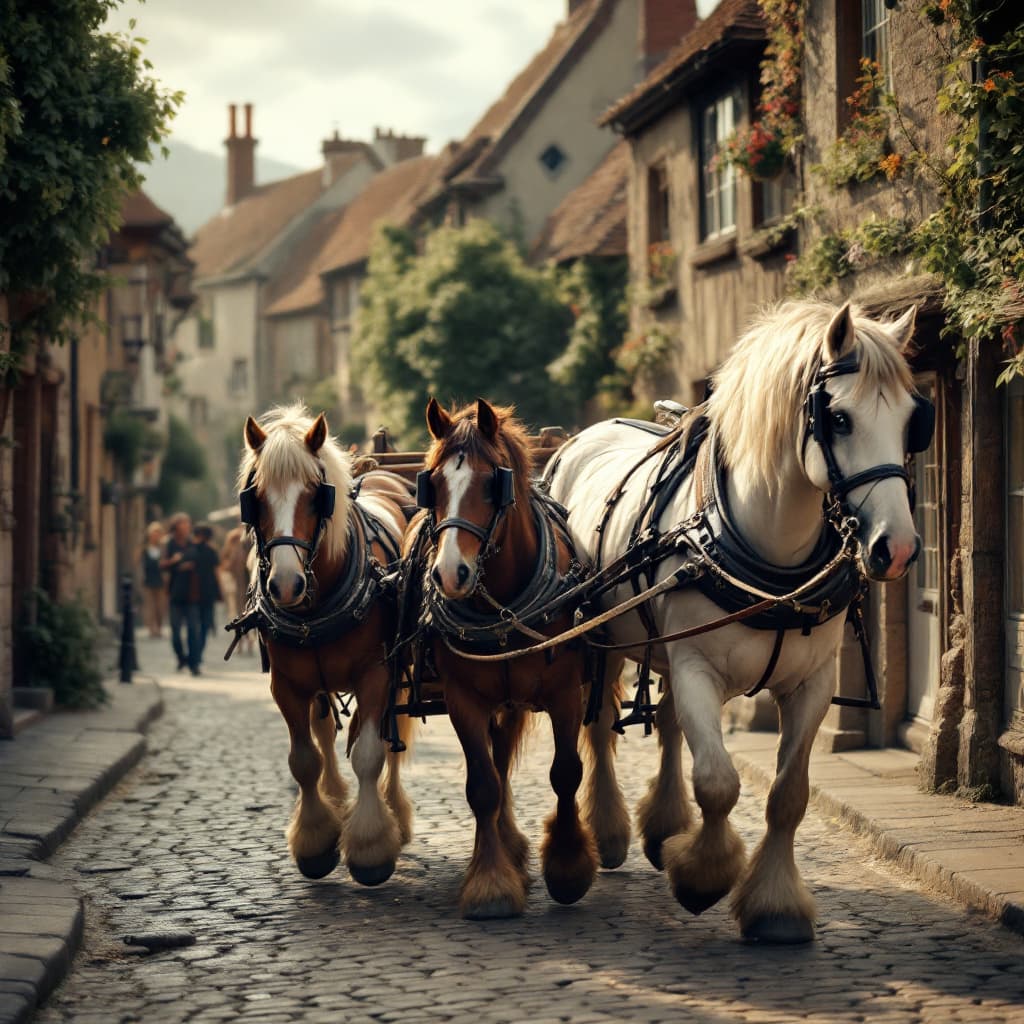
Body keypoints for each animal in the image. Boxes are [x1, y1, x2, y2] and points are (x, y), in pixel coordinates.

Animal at [236, 404, 414, 885]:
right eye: (254, 498)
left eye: (317, 496)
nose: (285, 584)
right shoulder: (287, 685)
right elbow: (304, 760)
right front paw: (316, 839)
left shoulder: (377, 673)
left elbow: (370, 754)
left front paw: (371, 846)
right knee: (323, 732)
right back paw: (336, 800)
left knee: (391, 735)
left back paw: (396, 815)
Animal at [408, 397, 597, 918]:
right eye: (432, 483)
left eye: (493, 481)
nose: (450, 573)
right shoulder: (464, 700)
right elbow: (482, 786)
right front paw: (490, 882)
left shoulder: (565, 693)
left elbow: (565, 772)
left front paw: (568, 866)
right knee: (497, 763)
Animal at [545, 300, 931, 943]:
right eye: (840, 419)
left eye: (912, 420)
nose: (895, 549)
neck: (770, 559)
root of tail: (584, 434)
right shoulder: (697, 666)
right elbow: (719, 783)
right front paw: (703, 877)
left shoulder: (811, 683)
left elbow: (787, 796)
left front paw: (775, 907)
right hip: (601, 641)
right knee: (599, 727)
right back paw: (609, 832)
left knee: (667, 723)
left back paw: (662, 827)